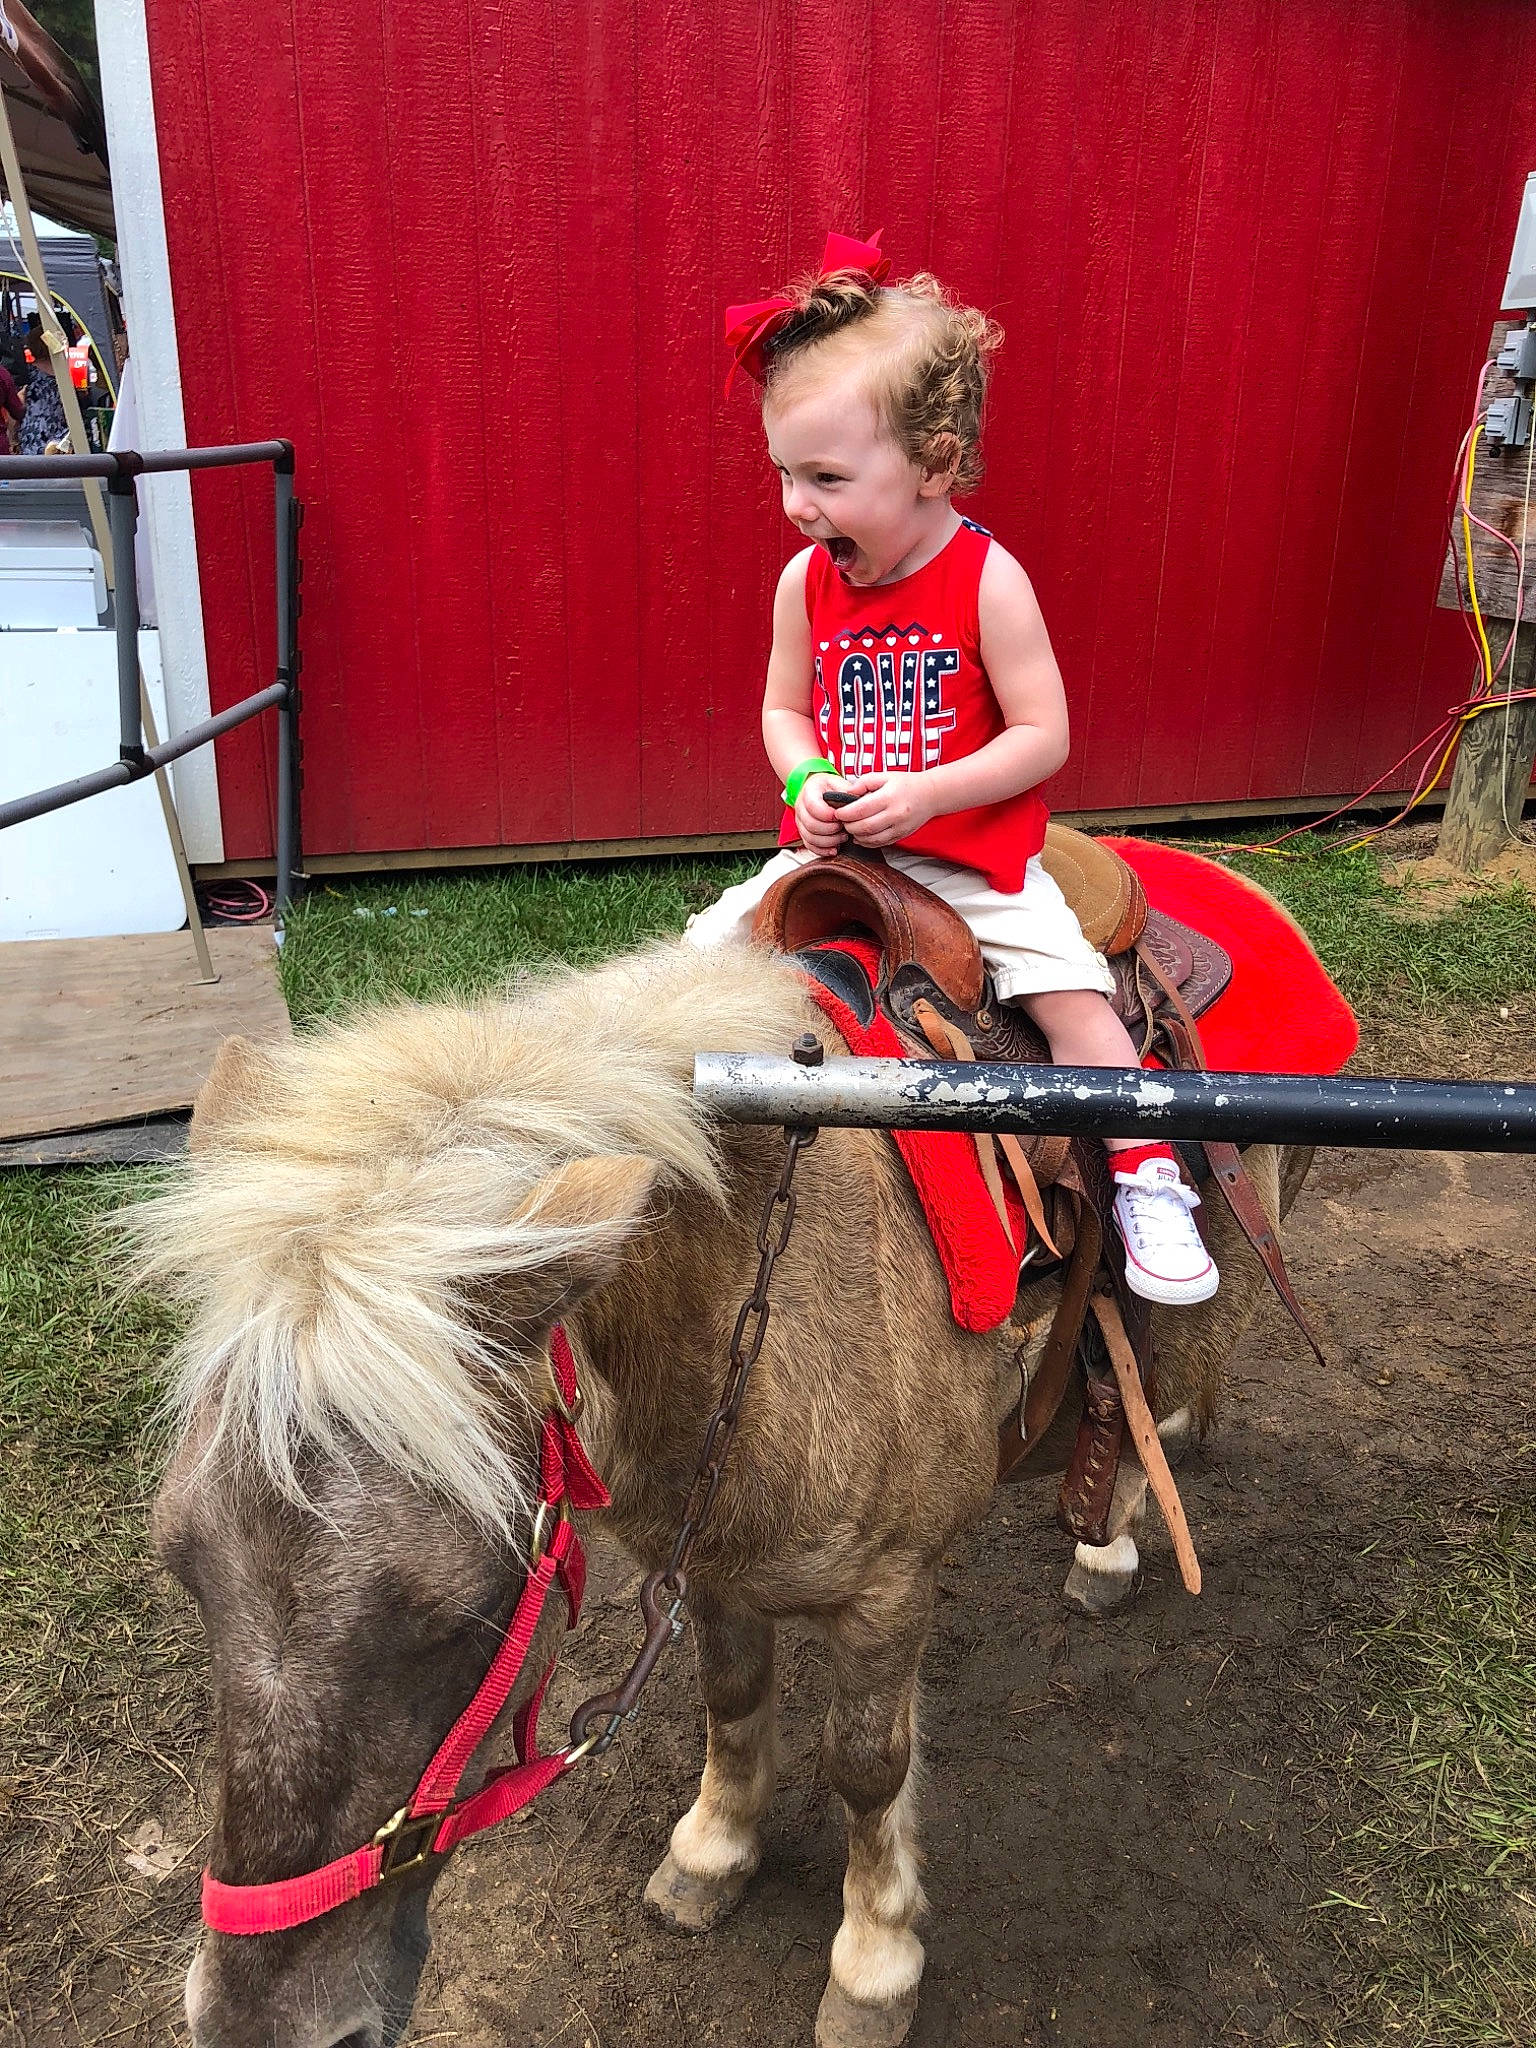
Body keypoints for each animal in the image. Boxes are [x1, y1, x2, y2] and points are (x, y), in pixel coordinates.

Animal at [127, 936, 1308, 2048]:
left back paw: (1112, 1535)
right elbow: (732, 1702)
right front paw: (714, 1850)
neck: (751, 1285)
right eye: (183, 1566)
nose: (263, 2028)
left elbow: (866, 1767)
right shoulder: (709, 1558)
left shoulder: (888, 1592)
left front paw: (874, 1960)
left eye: (462, 1612)